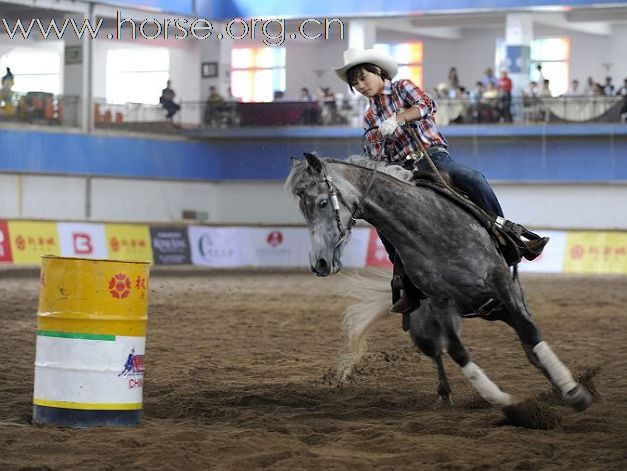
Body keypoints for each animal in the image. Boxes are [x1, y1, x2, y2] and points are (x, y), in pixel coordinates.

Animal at [288, 154, 592, 412]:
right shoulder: (440, 301)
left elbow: (530, 334)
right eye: (302, 208)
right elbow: (457, 351)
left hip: (503, 305)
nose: (319, 263)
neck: (430, 228)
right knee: (438, 352)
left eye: (322, 203)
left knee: (528, 342)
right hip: (426, 328)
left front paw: (573, 391)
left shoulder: (500, 282)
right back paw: (444, 395)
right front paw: (501, 400)